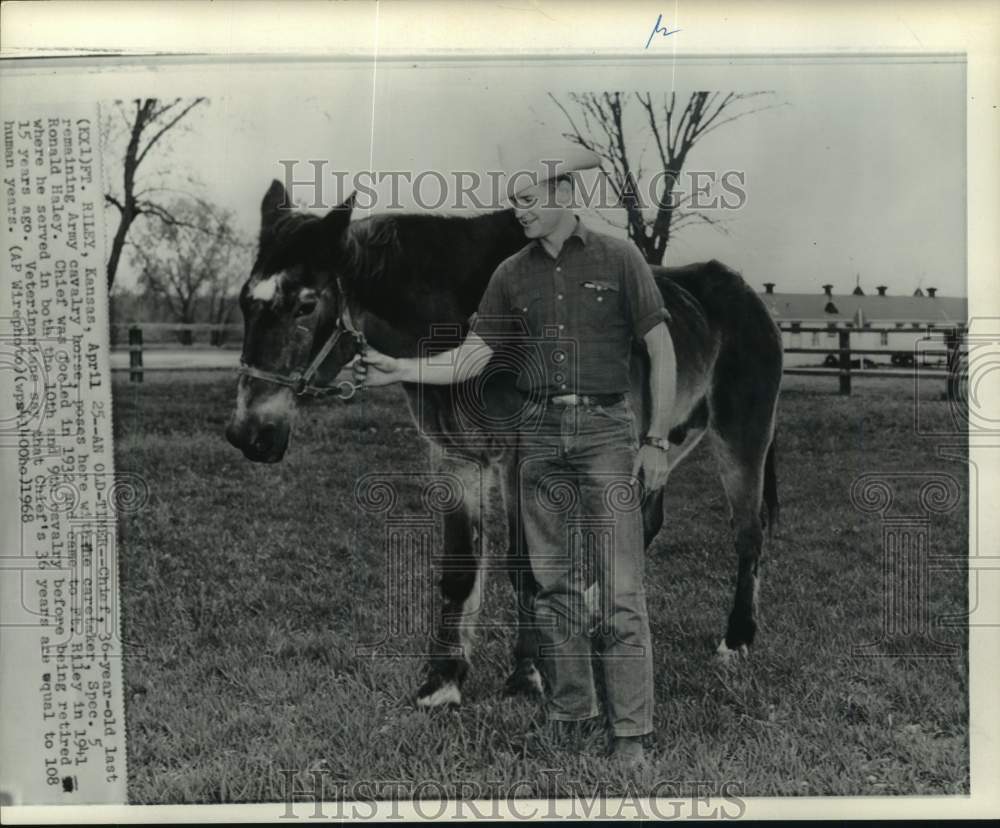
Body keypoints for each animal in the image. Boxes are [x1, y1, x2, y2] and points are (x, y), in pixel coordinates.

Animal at [225, 179, 783, 707]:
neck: (459, 323)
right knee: (645, 523)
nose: (248, 434)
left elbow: (525, 567)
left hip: (741, 436)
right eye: (244, 302)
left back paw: (735, 640)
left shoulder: (520, 460)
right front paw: (443, 682)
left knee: (748, 533)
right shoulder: (454, 458)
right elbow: (459, 570)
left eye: (305, 305)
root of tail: (751, 298)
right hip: (662, 446)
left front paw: (528, 675)